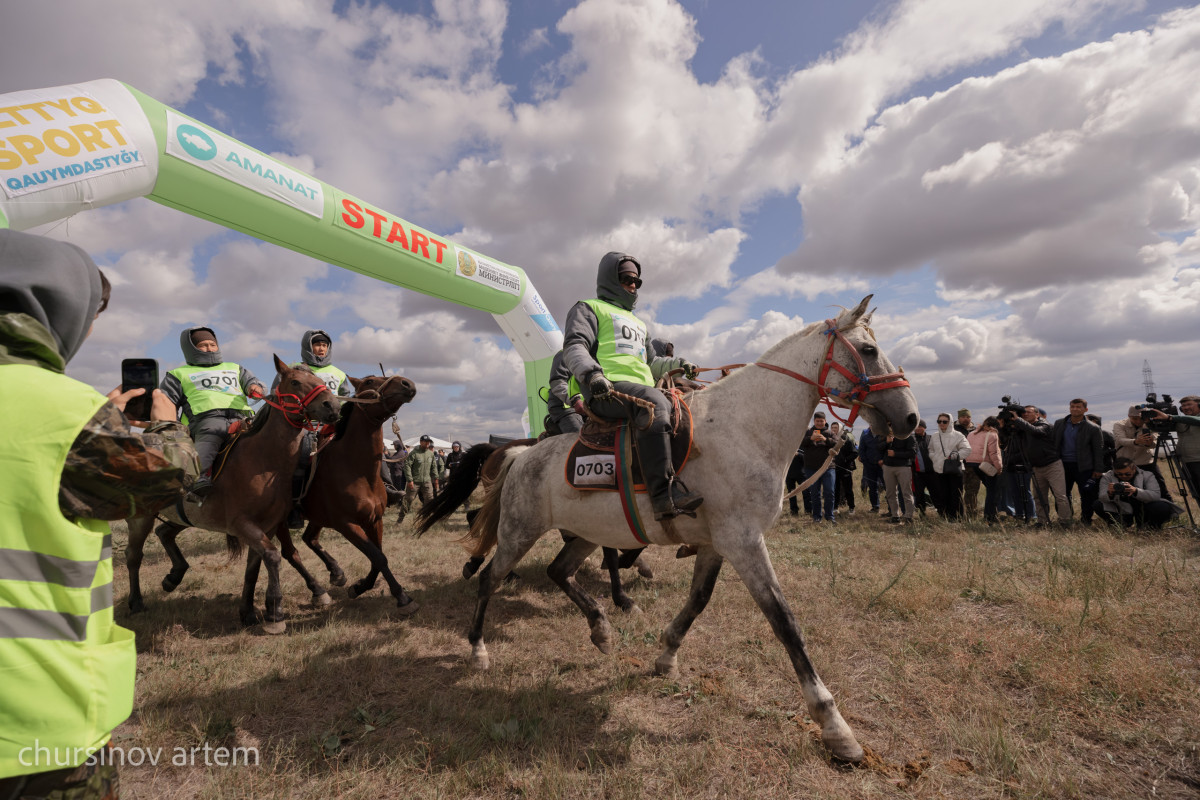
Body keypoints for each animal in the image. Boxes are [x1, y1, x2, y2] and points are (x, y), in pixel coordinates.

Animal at [126, 357, 340, 633]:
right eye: (295, 382)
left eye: (320, 380)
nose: (333, 406)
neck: (263, 462)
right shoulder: (243, 524)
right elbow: (274, 557)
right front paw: (275, 613)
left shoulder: (267, 526)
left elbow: (253, 569)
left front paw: (248, 613)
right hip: (139, 518)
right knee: (133, 556)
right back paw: (136, 602)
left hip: (185, 516)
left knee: (164, 532)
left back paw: (173, 576)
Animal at [276, 374, 422, 614]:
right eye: (370, 380)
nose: (407, 384)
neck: (355, 469)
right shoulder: (347, 525)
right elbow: (378, 557)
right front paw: (402, 597)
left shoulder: (375, 520)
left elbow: (378, 557)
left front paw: (359, 586)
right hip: (279, 523)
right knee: (290, 553)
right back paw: (318, 591)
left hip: (318, 518)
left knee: (309, 539)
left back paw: (336, 573)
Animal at [458, 296, 916, 762]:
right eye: (870, 350)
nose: (911, 418)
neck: (745, 428)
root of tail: (520, 455)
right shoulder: (744, 542)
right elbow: (784, 621)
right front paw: (834, 725)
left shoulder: (716, 544)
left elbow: (698, 600)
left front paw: (666, 656)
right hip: (519, 532)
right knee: (490, 578)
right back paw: (478, 649)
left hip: (584, 534)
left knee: (559, 571)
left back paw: (601, 629)